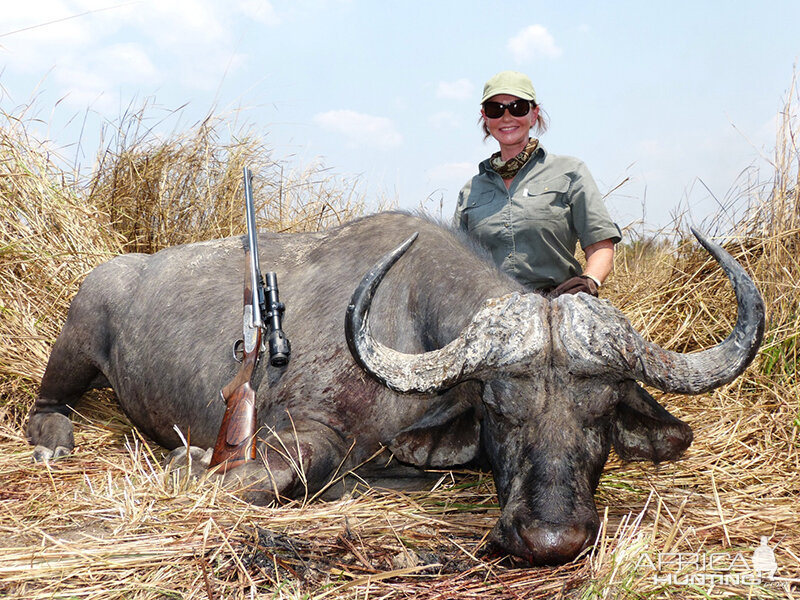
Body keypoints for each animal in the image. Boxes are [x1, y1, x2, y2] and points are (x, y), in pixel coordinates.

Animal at [23, 213, 764, 564]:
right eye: (499, 409)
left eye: (603, 413)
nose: (552, 537)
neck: (405, 324)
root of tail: (119, 270)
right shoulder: (299, 429)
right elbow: (298, 465)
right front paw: (189, 459)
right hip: (76, 340)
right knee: (47, 402)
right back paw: (54, 439)